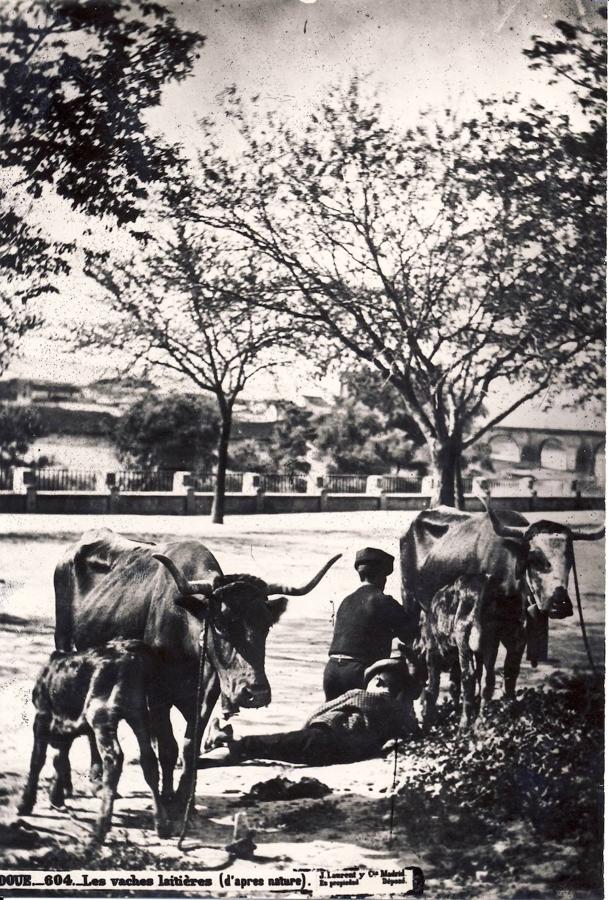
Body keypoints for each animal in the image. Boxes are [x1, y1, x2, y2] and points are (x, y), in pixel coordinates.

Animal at [18, 640, 169, 844]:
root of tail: (130, 650)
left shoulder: (41, 718)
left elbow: (37, 760)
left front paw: (25, 803)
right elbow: (60, 758)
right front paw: (56, 797)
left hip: (100, 715)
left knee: (114, 758)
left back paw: (100, 827)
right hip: (138, 714)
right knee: (149, 760)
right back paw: (162, 825)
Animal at [52, 532, 340, 812]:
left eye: (267, 625)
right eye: (220, 624)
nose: (255, 693)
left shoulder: (206, 696)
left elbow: (190, 747)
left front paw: (184, 798)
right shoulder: (158, 695)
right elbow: (168, 747)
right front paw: (168, 798)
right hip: (64, 643)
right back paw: (81, 782)